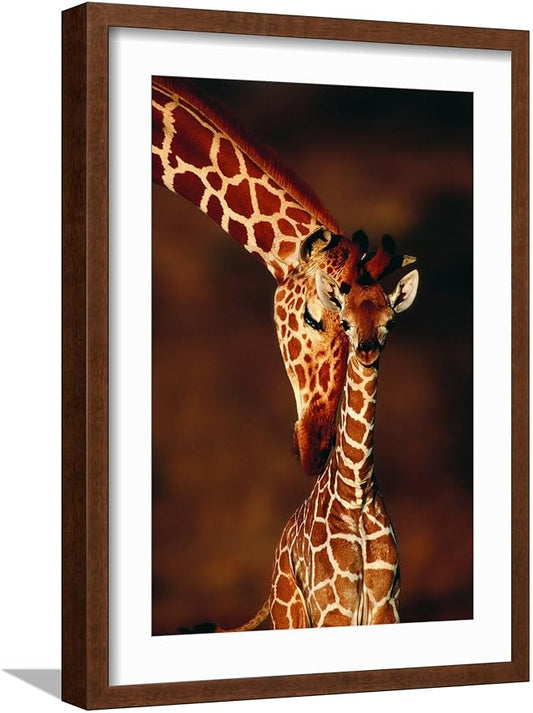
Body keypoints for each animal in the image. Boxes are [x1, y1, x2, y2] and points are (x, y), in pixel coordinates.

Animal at [218, 231, 419, 630]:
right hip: (290, 614)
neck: (357, 493)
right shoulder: (334, 609)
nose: (367, 349)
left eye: (390, 321)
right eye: (345, 321)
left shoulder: (386, 607)